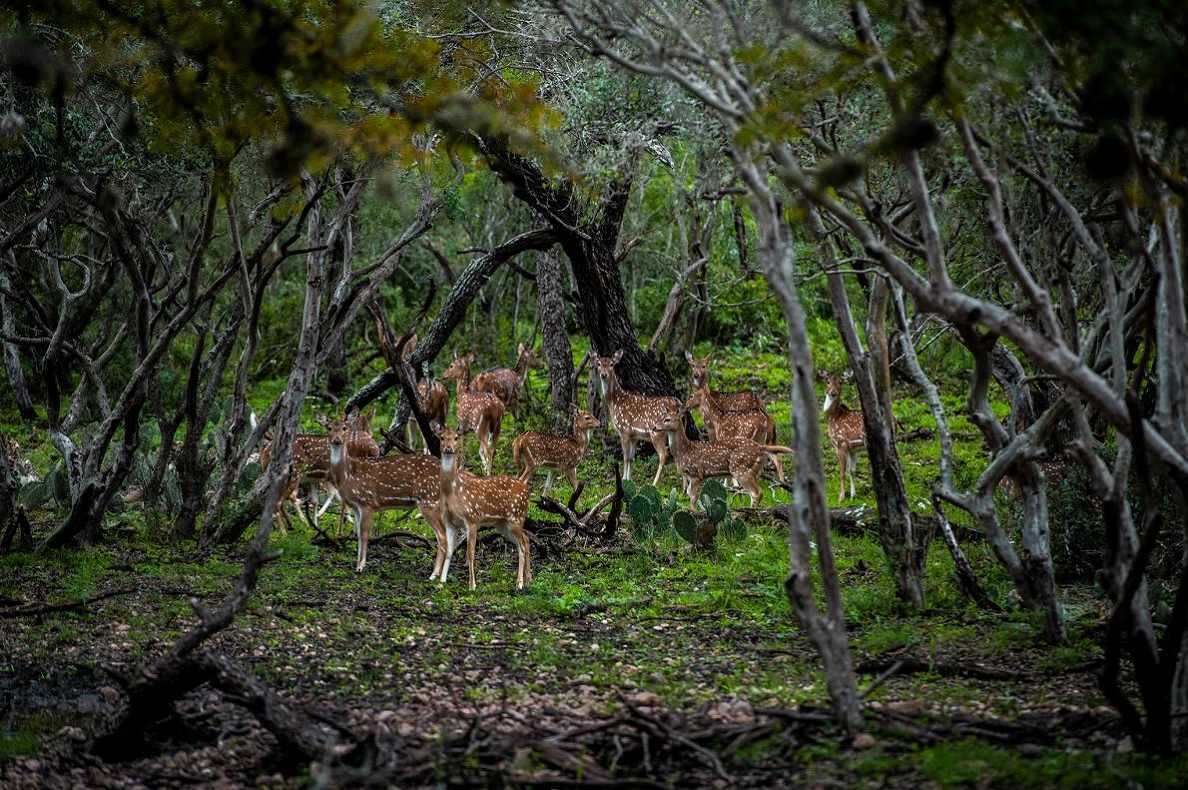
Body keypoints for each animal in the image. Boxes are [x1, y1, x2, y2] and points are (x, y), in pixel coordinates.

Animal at [318, 413, 444, 572]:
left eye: (345, 428)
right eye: (328, 428)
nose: (337, 440)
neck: (348, 475)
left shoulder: (367, 502)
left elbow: (364, 534)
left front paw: (361, 566)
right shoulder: (356, 506)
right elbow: (358, 534)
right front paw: (357, 564)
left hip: (429, 500)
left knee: (442, 536)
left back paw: (435, 574)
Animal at [434, 427, 532, 589]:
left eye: (456, 438)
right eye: (441, 437)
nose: (448, 449)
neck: (452, 492)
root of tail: (527, 490)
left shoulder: (472, 518)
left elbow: (470, 552)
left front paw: (472, 585)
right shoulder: (449, 521)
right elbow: (448, 549)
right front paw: (441, 583)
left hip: (515, 516)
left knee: (523, 544)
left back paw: (519, 583)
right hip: (503, 524)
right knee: (525, 539)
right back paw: (529, 579)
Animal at [591, 349, 679, 484]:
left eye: (611, 364)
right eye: (599, 364)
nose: (603, 374)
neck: (615, 402)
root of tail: (676, 404)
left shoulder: (624, 430)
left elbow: (625, 457)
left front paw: (623, 479)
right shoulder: (635, 436)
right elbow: (631, 458)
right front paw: (629, 479)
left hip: (657, 432)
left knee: (664, 454)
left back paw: (654, 483)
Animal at [655, 408, 793, 508]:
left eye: (667, 419)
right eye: (660, 418)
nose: (654, 427)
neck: (684, 451)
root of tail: (760, 447)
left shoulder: (696, 474)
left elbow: (693, 498)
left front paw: (694, 512)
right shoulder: (689, 475)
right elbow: (689, 495)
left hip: (741, 469)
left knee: (756, 493)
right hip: (754, 471)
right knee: (754, 492)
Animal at [822, 373, 869, 501]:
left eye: (840, 382)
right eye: (827, 381)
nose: (833, 393)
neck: (833, 417)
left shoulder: (840, 443)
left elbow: (842, 472)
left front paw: (841, 497)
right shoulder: (852, 450)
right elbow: (851, 471)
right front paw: (853, 495)